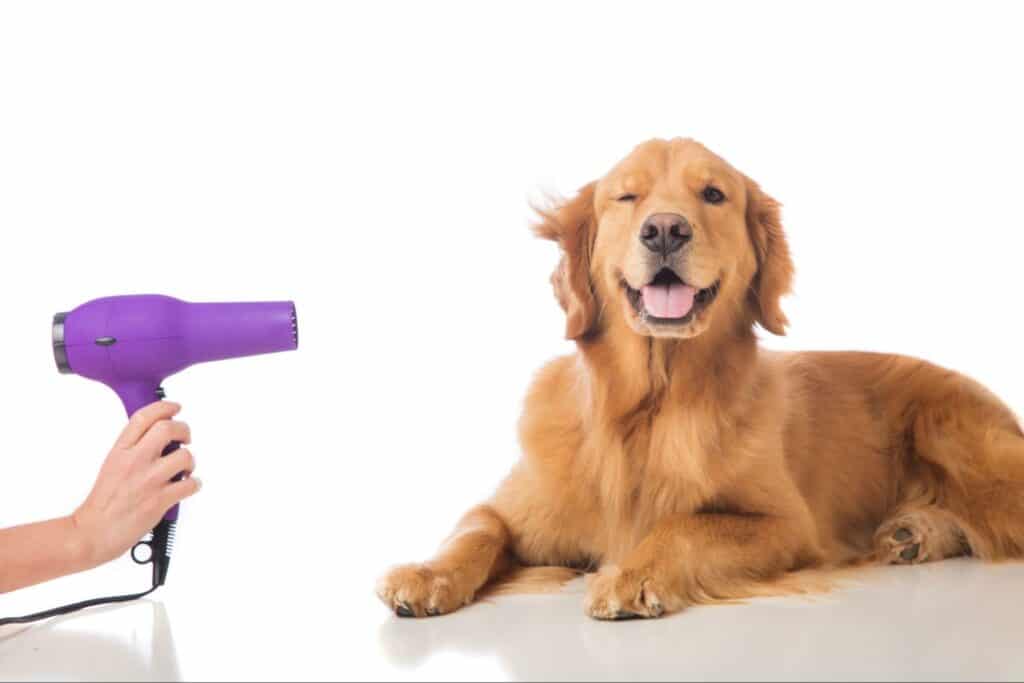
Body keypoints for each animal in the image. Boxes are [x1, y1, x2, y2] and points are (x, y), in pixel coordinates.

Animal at [378, 137, 1024, 618]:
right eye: (627, 196)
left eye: (713, 194)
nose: (665, 228)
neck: (650, 405)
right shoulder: (518, 505)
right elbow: (475, 528)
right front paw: (426, 575)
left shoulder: (787, 525)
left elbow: (685, 525)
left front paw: (631, 575)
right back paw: (913, 533)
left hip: (951, 430)